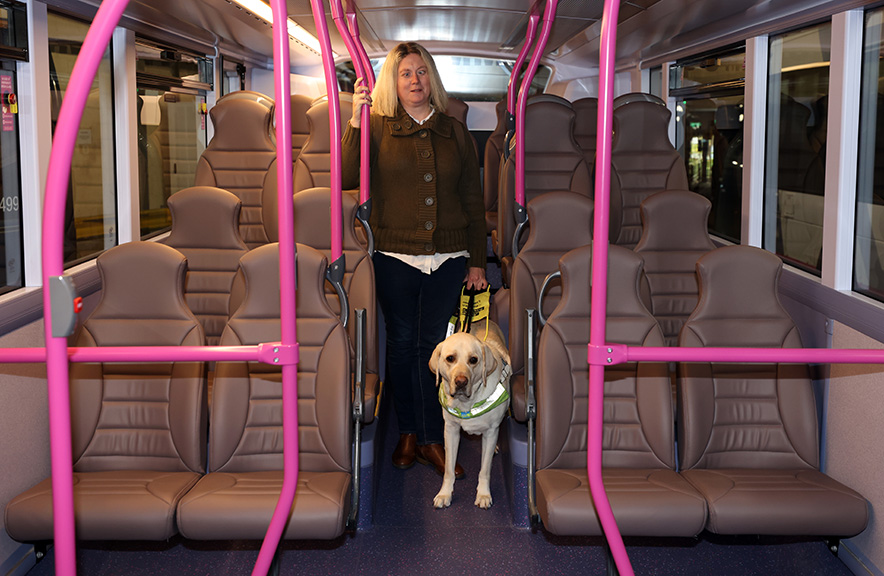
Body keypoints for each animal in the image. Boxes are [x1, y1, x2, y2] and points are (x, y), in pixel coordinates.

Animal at [430, 322, 512, 510]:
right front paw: (444, 494)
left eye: (473, 360)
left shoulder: (491, 432)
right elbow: (449, 469)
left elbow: (485, 470)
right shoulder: (451, 430)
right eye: (450, 358)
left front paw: (483, 494)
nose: (461, 381)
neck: (467, 404)